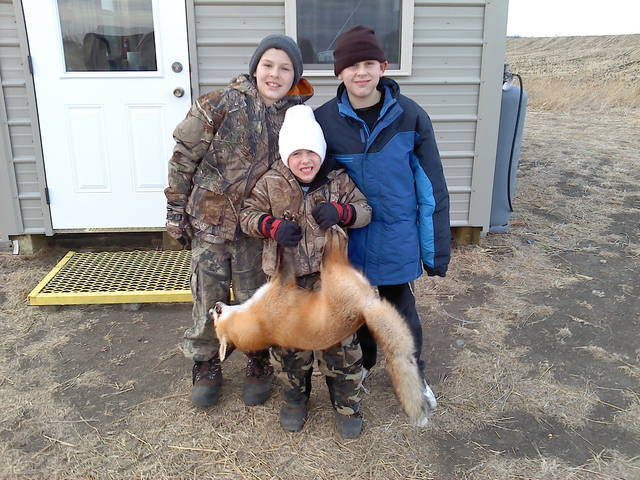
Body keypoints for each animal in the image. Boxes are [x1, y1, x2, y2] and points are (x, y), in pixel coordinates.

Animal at [210, 227, 437, 426]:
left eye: (215, 317)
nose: (213, 307)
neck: (261, 324)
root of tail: (364, 308)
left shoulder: (282, 283)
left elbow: (282, 256)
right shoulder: (283, 282)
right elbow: (285, 256)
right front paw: (284, 229)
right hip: (330, 269)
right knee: (335, 251)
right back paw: (334, 232)